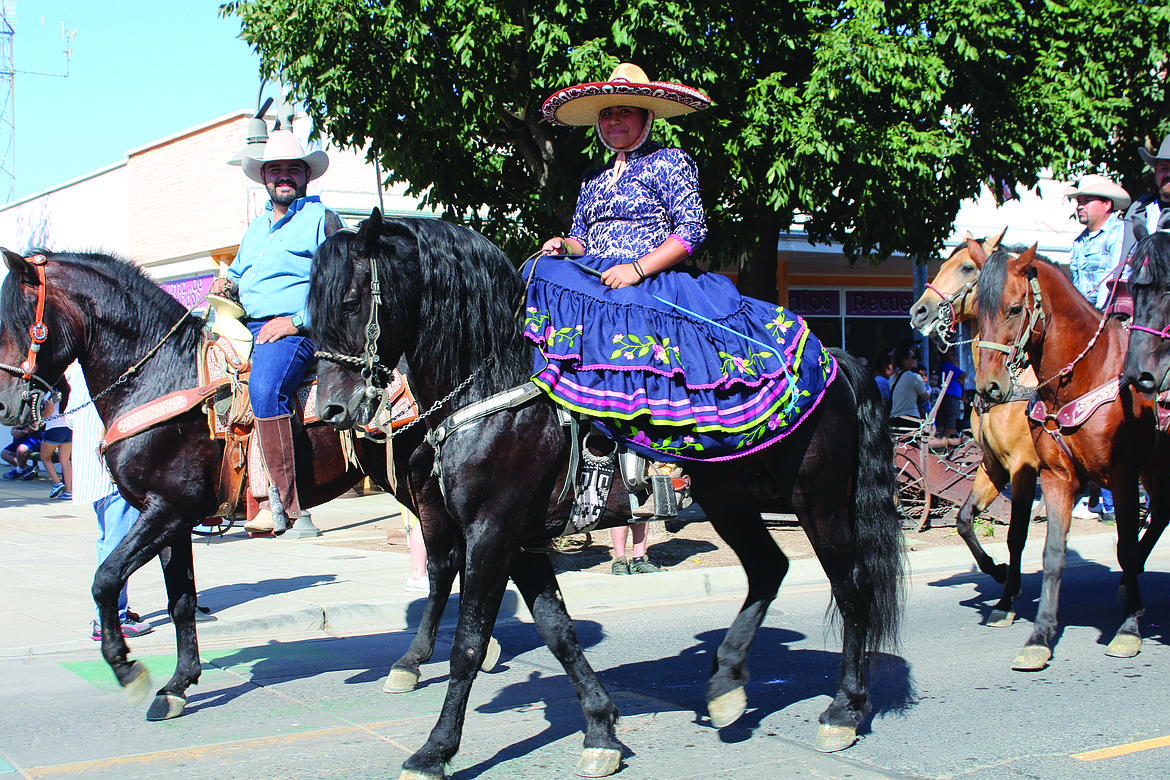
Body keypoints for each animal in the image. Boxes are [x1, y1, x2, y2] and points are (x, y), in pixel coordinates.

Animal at [304, 210, 903, 776]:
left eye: (351, 302)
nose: (330, 409)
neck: (493, 379)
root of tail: (837, 360)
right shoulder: (520, 541)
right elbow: (557, 631)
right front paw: (599, 730)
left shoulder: (492, 532)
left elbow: (468, 645)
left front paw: (435, 750)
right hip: (732, 501)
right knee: (768, 569)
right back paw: (727, 684)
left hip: (819, 501)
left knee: (851, 590)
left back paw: (844, 710)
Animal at [907, 235, 1048, 626]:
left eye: (967, 267)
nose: (919, 311)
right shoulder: (993, 464)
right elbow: (965, 520)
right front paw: (998, 571)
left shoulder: (1023, 466)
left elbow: (1016, 534)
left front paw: (1008, 596)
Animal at [968, 245, 1170, 673]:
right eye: (977, 309)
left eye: (1014, 309)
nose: (989, 387)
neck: (1085, 375)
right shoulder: (1052, 476)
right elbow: (1052, 553)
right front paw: (1039, 637)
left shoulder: (1120, 477)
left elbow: (1125, 546)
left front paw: (1129, 629)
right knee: (1161, 511)